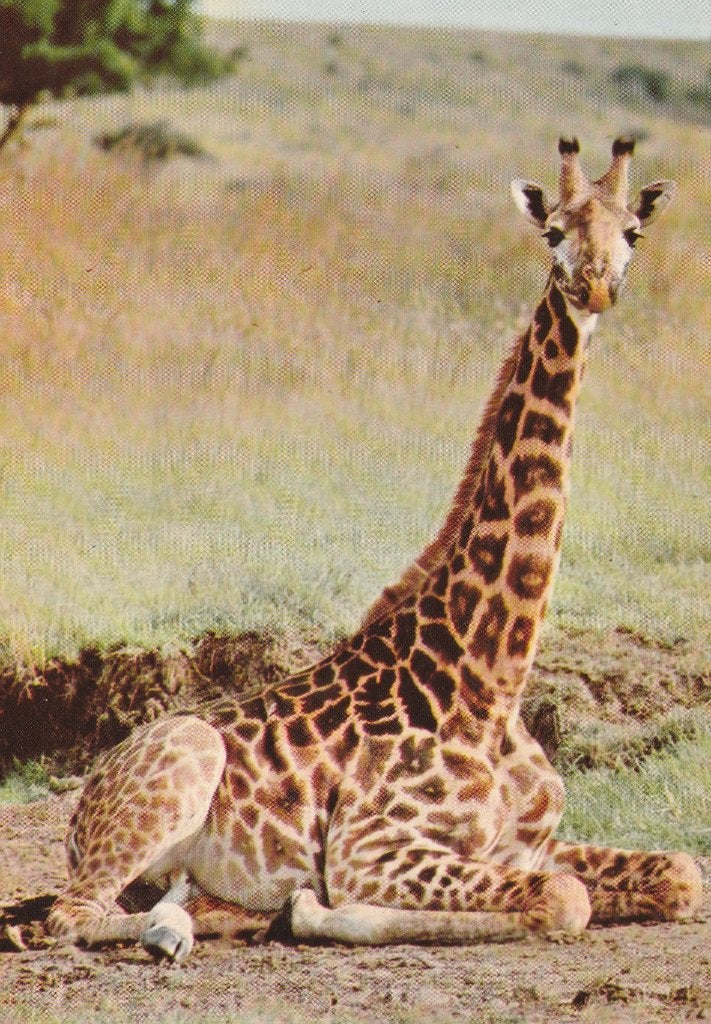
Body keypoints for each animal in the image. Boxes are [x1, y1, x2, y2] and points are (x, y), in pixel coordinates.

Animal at [47, 137, 702, 962]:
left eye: (632, 233)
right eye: (553, 231)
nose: (595, 285)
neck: (492, 678)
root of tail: (82, 801)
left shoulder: (529, 842)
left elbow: (681, 872)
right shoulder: (373, 848)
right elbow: (564, 897)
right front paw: (313, 910)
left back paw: (224, 912)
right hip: (172, 778)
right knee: (66, 917)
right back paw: (180, 927)